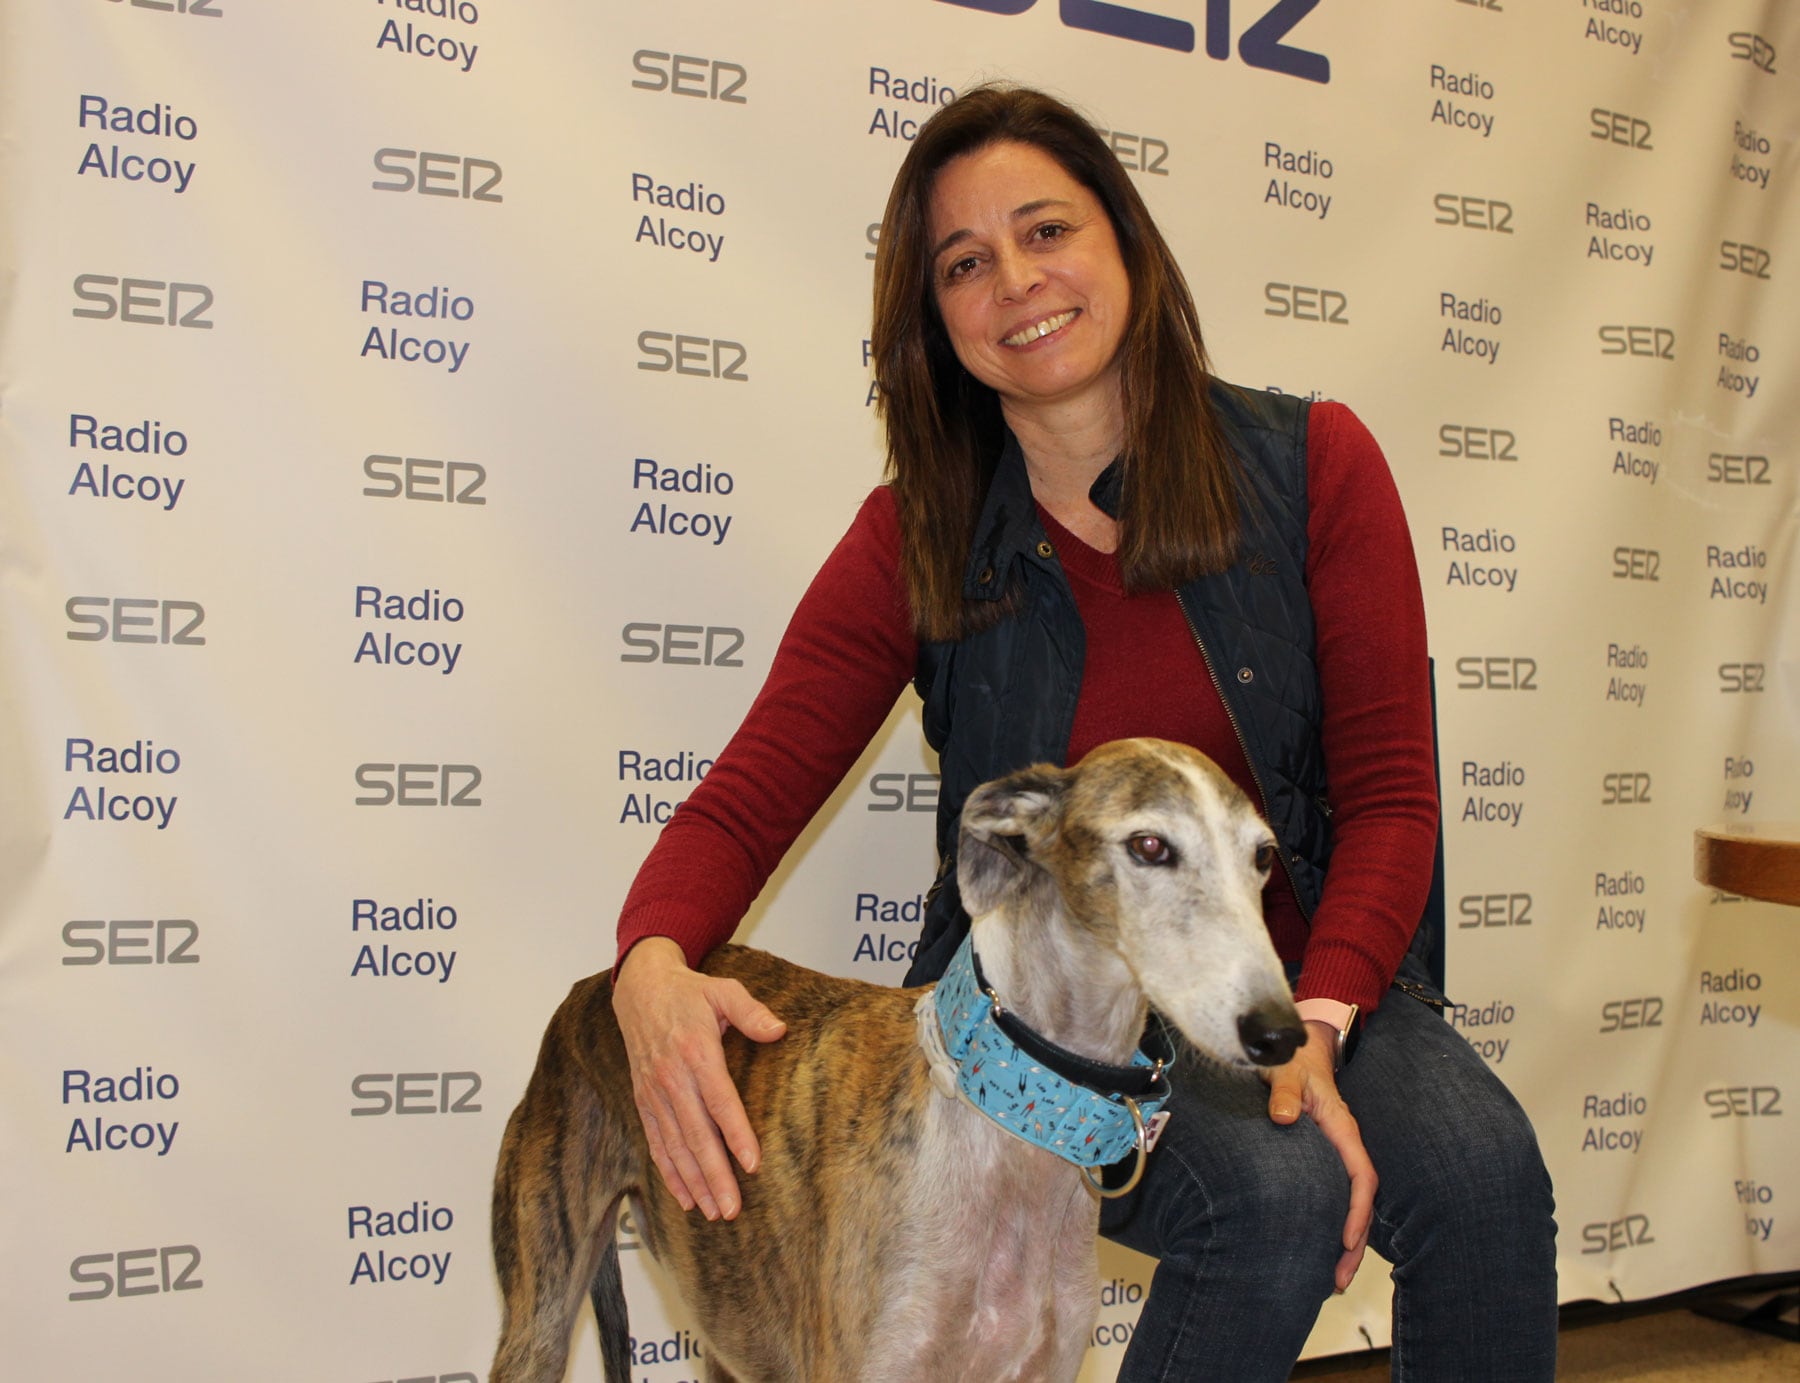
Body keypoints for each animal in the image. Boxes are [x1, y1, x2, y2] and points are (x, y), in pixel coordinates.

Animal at [493, 741, 1303, 1383]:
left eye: (1263, 856)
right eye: (1149, 846)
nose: (1282, 1034)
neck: (1010, 1118)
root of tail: (599, 983)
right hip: (539, 1312)